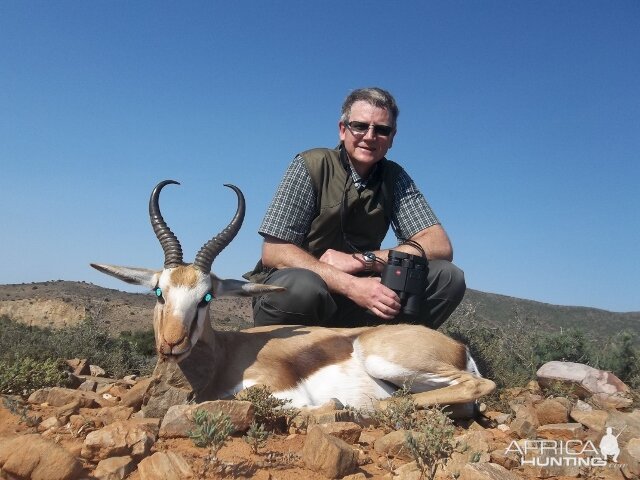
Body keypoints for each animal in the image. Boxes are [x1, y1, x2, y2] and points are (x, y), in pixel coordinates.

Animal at [91, 180, 496, 412]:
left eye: (206, 298)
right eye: (159, 292)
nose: (172, 344)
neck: (224, 355)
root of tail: (460, 348)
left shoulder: (279, 392)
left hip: (386, 362)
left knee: (479, 385)